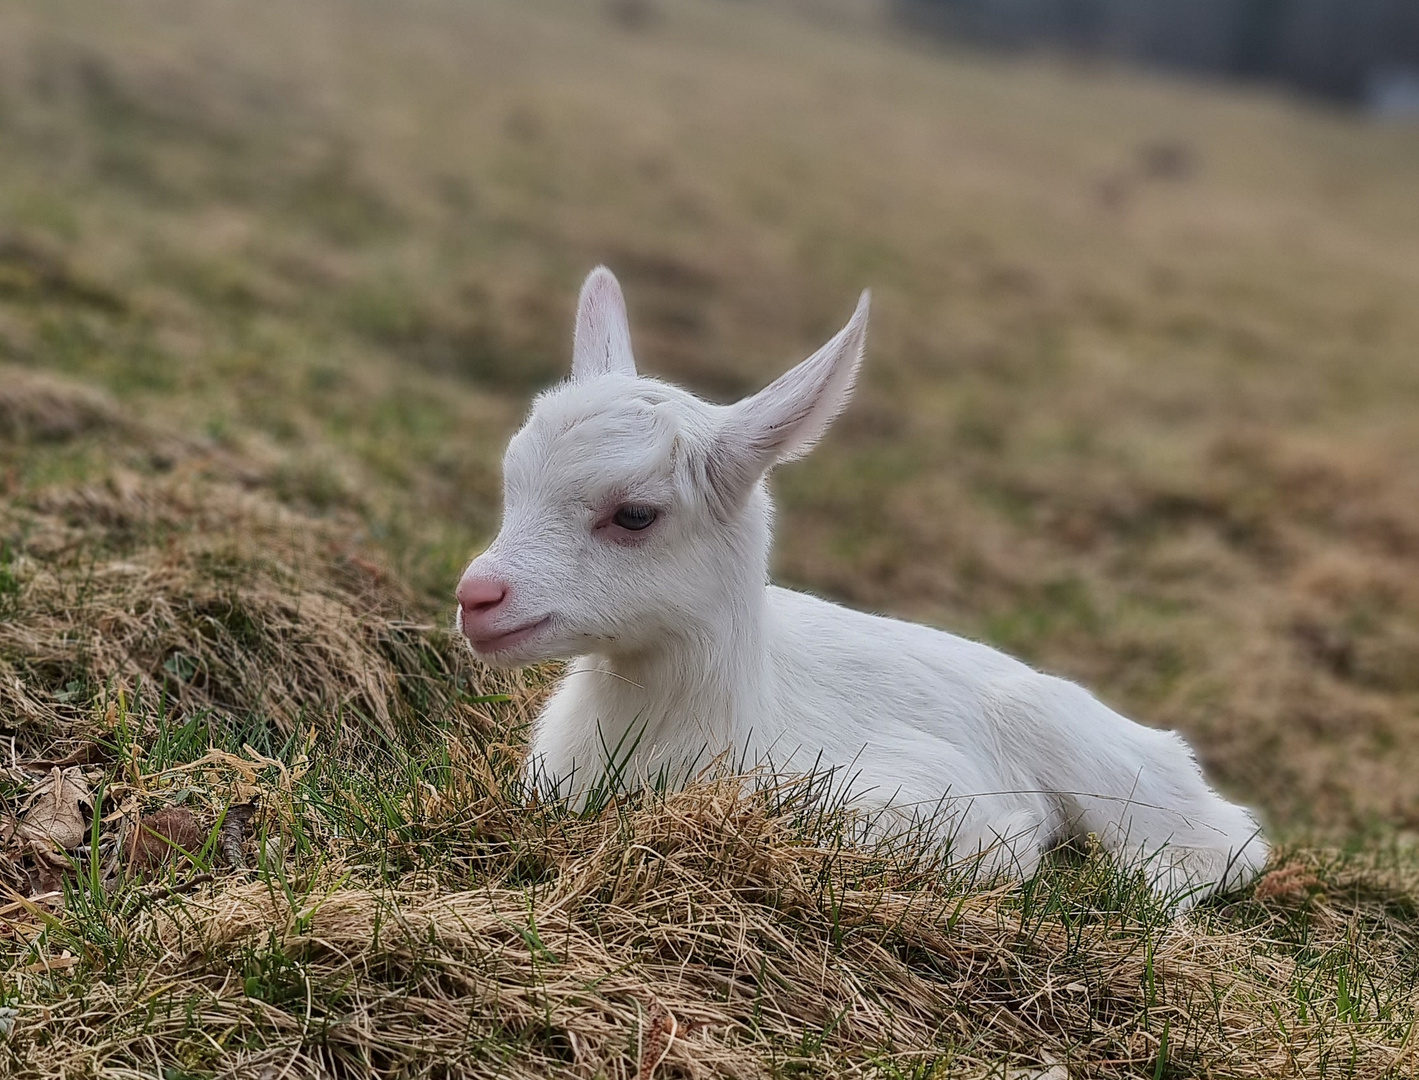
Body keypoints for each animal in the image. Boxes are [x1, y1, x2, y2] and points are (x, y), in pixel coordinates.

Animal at [459, 265, 1271, 908]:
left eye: (634, 514)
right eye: (511, 481)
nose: (477, 598)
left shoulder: (916, 796)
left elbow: (997, 844)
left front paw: (1027, 850)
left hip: (1101, 758)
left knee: (1228, 842)